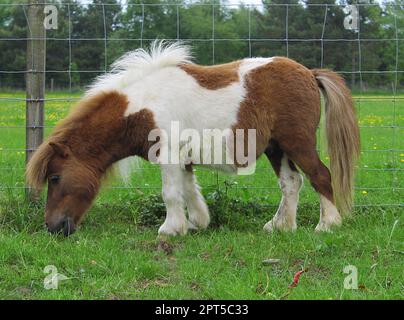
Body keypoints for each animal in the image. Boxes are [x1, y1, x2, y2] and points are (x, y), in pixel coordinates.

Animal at [26, 41, 360, 236]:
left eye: (55, 178)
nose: (52, 227)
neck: (142, 106)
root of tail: (309, 73)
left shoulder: (168, 155)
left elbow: (171, 194)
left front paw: (170, 229)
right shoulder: (183, 159)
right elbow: (189, 190)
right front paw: (197, 222)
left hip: (298, 144)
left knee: (321, 176)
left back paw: (326, 224)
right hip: (276, 148)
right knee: (291, 183)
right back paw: (280, 226)